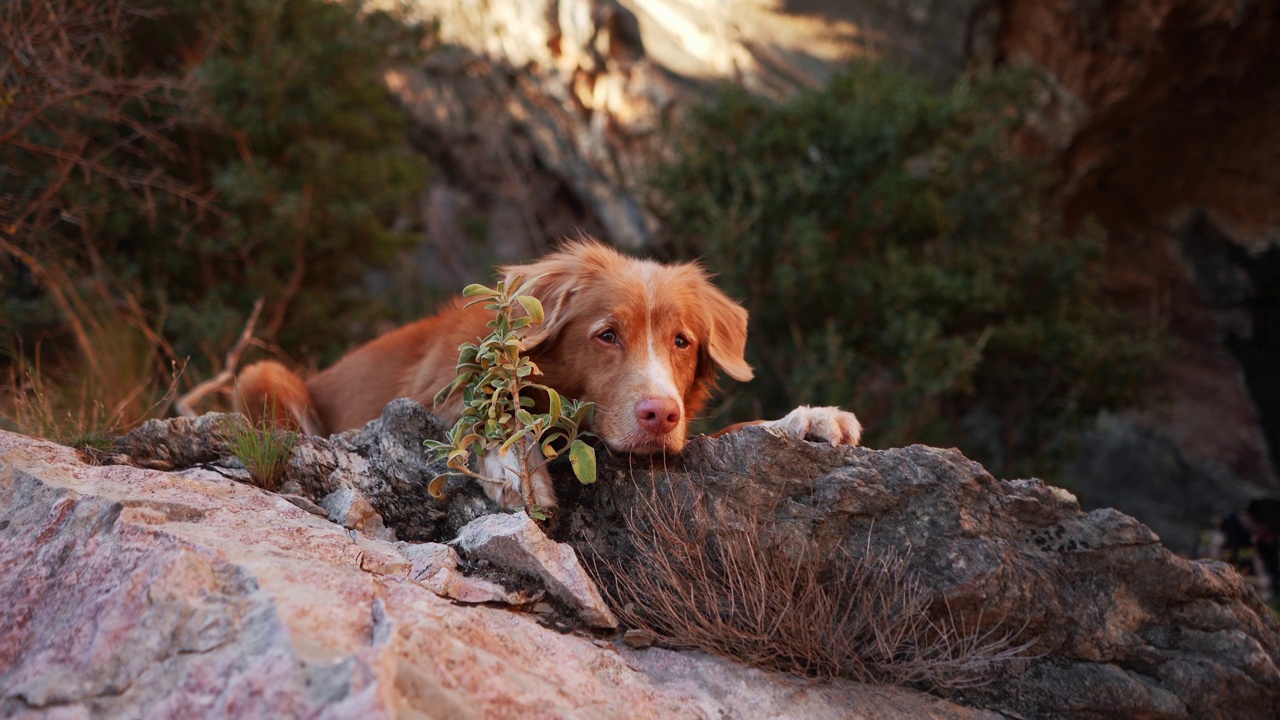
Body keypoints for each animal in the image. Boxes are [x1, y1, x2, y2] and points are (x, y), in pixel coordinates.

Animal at [240, 240, 860, 504]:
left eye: (681, 341)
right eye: (607, 335)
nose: (660, 415)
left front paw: (810, 419)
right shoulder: (442, 392)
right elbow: (485, 417)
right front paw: (518, 469)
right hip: (266, 375)